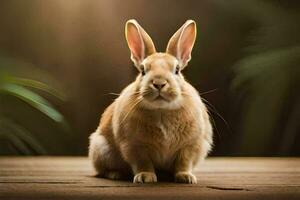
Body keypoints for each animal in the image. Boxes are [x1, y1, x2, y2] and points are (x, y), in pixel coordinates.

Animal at [89, 19, 213, 184]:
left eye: (177, 70)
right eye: (142, 70)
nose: (159, 83)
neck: (161, 110)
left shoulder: (191, 145)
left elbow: (184, 162)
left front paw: (186, 177)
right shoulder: (135, 146)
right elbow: (143, 162)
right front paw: (145, 177)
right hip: (101, 149)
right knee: (103, 169)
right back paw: (116, 174)